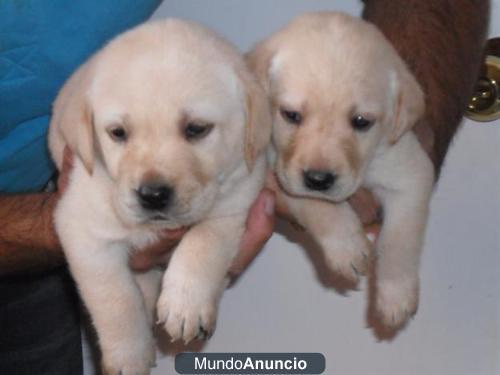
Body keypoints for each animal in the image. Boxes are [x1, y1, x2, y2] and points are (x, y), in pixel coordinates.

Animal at [48, 19, 272, 374]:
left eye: (196, 129)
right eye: (117, 133)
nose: (152, 195)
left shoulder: (237, 199)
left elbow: (205, 242)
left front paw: (186, 305)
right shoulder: (82, 228)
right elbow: (115, 298)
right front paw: (128, 356)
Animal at [249, 11, 434, 328]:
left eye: (361, 121)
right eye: (291, 115)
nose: (318, 179)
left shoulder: (409, 171)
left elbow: (400, 239)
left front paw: (395, 293)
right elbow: (314, 204)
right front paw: (346, 245)